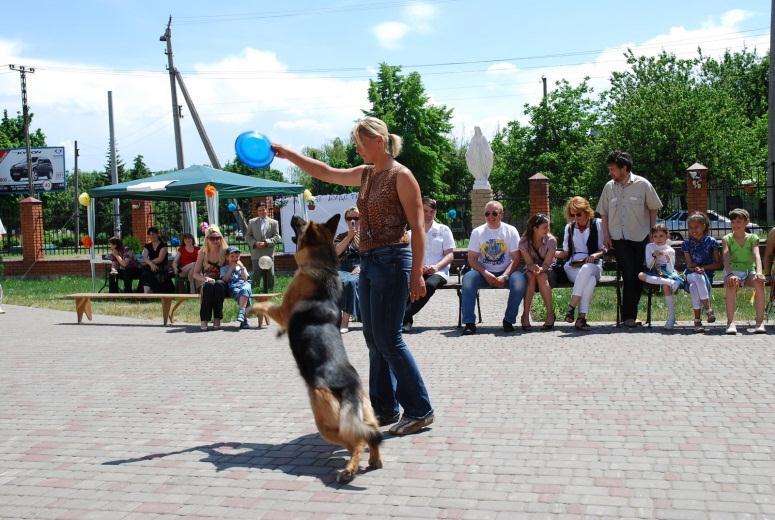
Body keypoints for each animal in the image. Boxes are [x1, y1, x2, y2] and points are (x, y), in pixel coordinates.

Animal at [250, 215, 384, 484]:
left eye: (303, 224)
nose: (293, 216)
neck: (322, 266)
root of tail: (349, 387)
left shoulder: (282, 310)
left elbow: (265, 303)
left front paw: (250, 308)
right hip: (364, 414)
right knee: (371, 435)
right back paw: (374, 461)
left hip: (326, 424)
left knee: (357, 442)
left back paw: (349, 469)